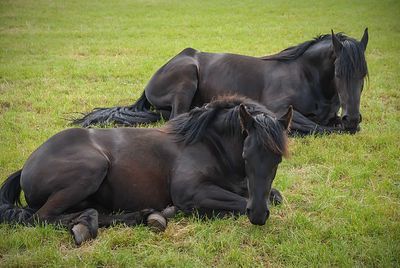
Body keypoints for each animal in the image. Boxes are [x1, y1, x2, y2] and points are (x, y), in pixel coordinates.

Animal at [1, 96, 292, 245]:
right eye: (245, 155)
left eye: (278, 160)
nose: (258, 215)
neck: (208, 144)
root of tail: (27, 166)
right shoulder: (191, 192)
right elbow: (236, 204)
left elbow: (274, 196)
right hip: (91, 169)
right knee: (40, 217)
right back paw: (86, 226)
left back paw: (146, 216)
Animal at [74, 28, 368, 135]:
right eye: (339, 74)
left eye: (363, 75)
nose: (353, 117)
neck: (307, 77)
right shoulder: (279, 110)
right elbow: (320, 128)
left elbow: (333, 126)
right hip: (186, 77)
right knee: (175, 117)